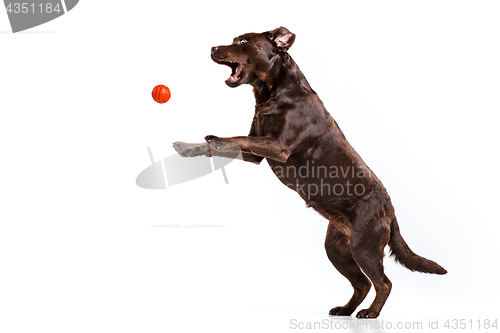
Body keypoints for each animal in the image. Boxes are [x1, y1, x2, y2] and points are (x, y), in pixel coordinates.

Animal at [174, 26, 448, 316]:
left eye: (243, 41)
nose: (213, 48)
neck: (272, 93)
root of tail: (390, 209)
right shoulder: (255, 154)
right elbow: (220, 146)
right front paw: (188, 147)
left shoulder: (278, 146)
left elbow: (234, 138)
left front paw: (214, 137)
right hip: (337, 250)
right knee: (362, 284)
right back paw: (345, 310)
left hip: (365, 247)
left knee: (384, 283)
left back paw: (371, 313)